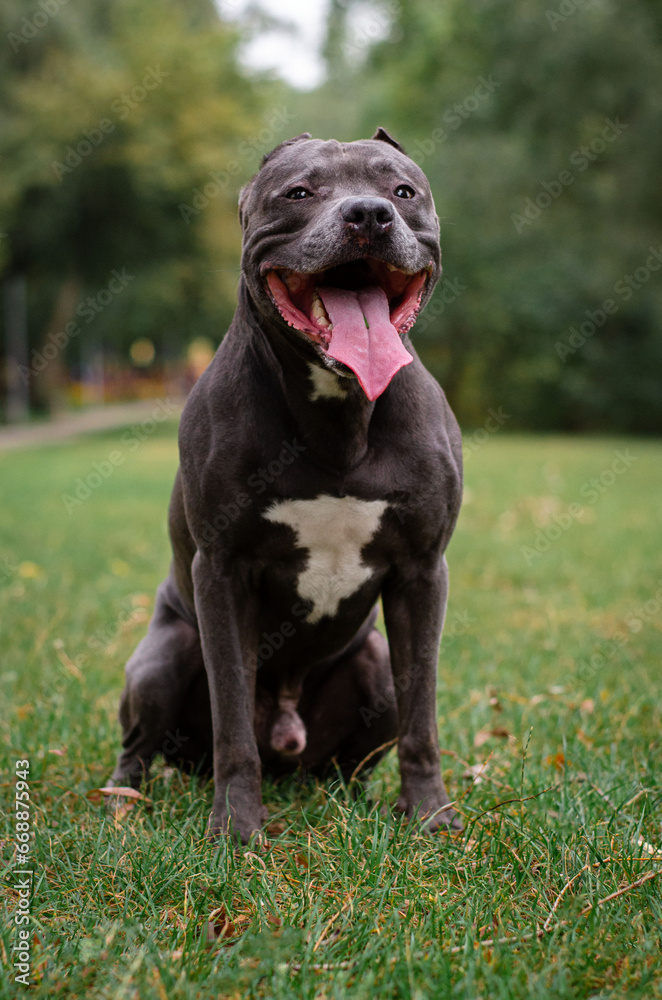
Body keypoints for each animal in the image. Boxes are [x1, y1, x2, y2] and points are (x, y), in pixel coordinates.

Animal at [109, 129, 464, 840]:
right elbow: (232, 721)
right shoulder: (222, 571)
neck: (338, 412)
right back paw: (122, 801)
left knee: (359, 745)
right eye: (299, 193)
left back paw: (351, 797)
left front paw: (429, 816)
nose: (369, 215)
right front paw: (236, 828)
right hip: (163, 656)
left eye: (402, 190)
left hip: (373, 666)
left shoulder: (422, 572)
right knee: (143, 743)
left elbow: (424, 714)